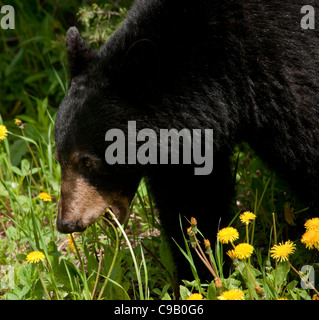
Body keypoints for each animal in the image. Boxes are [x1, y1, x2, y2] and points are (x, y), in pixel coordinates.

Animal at [55, 0, 319, 278]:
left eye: (87, 162)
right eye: (58, 158)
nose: (65, 222)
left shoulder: (284, 69)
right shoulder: (186, 141)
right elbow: (191, 198)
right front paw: (201, 273)